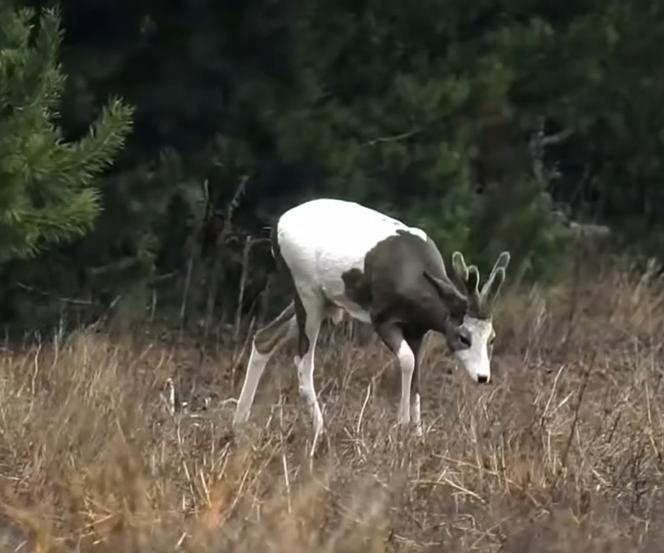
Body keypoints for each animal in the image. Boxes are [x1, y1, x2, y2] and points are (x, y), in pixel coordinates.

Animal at [231, 197, 510, 448]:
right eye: (464, 336)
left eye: (492, 338)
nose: (483, 376)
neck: (415, 279)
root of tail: (277, 225)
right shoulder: (382, 318)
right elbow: (407, 361)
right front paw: (402, 427)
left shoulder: (418, 330)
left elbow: (417, 373)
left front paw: (418, 435)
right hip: (306, 291)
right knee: (302, 360)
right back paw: (320, 431)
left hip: (321, 300)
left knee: (265, 337)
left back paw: (239, 422)